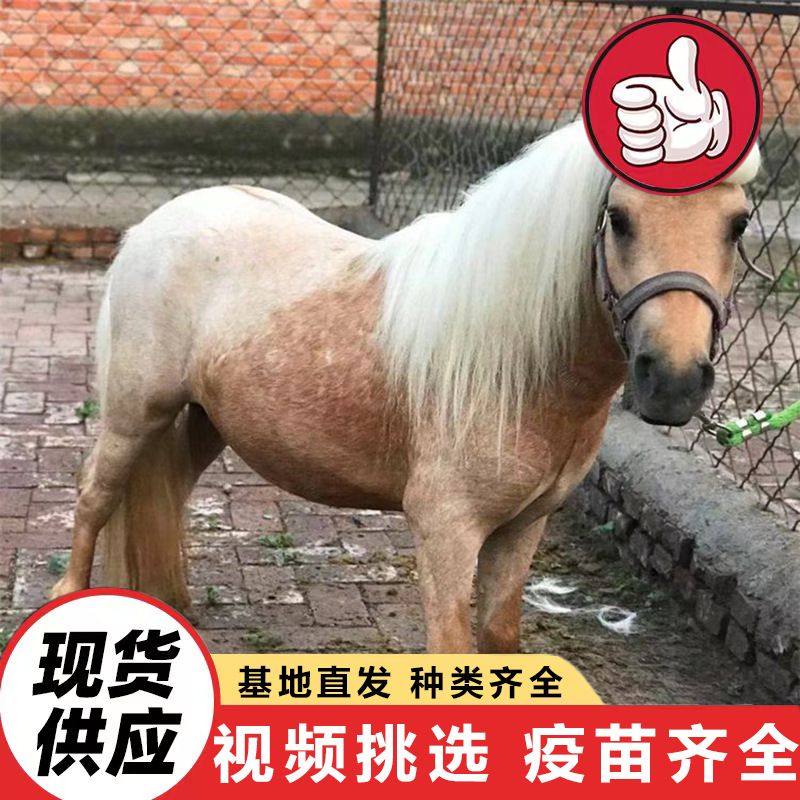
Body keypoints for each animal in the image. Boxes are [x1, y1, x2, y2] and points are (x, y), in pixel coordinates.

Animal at [51, 121, 761, 653]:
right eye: (618, 217)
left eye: (738, 223)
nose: (673, 381)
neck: (519, 365)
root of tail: (158, 222)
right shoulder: (447, 531)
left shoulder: (522, 529)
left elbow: (499, 641)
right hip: (134, 412)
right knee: (94, 497)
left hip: (206, 419)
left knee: (168, 488)